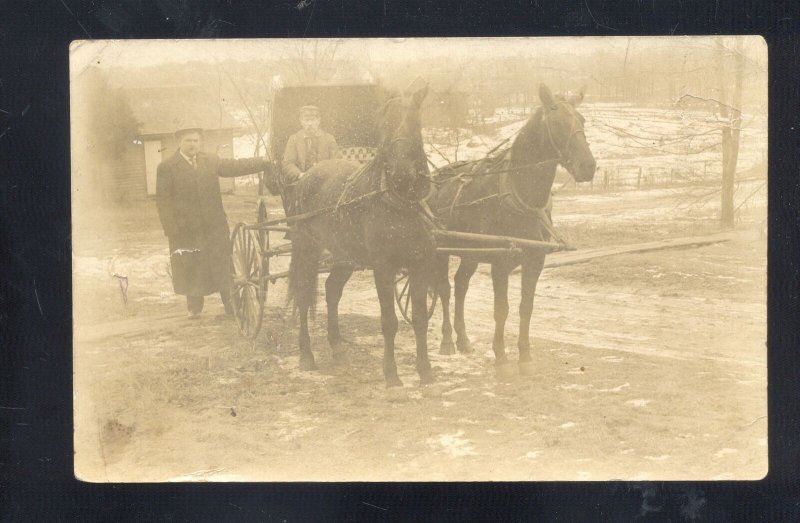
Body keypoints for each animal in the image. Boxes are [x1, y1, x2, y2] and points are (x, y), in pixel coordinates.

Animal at [288, 86, 438, 386]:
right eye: (384, 126)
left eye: (414, 121)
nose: (401, 174)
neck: (400, 204)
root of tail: (307, 176)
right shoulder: (383, 267)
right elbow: (389, 321)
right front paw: (391, 374)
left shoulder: (420, 264)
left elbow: (419, 318)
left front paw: (425, 371)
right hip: (306, 249)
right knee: (303, 295)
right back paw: (306, 355)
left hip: (345, 256)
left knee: (331, 290)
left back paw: (337, 348)